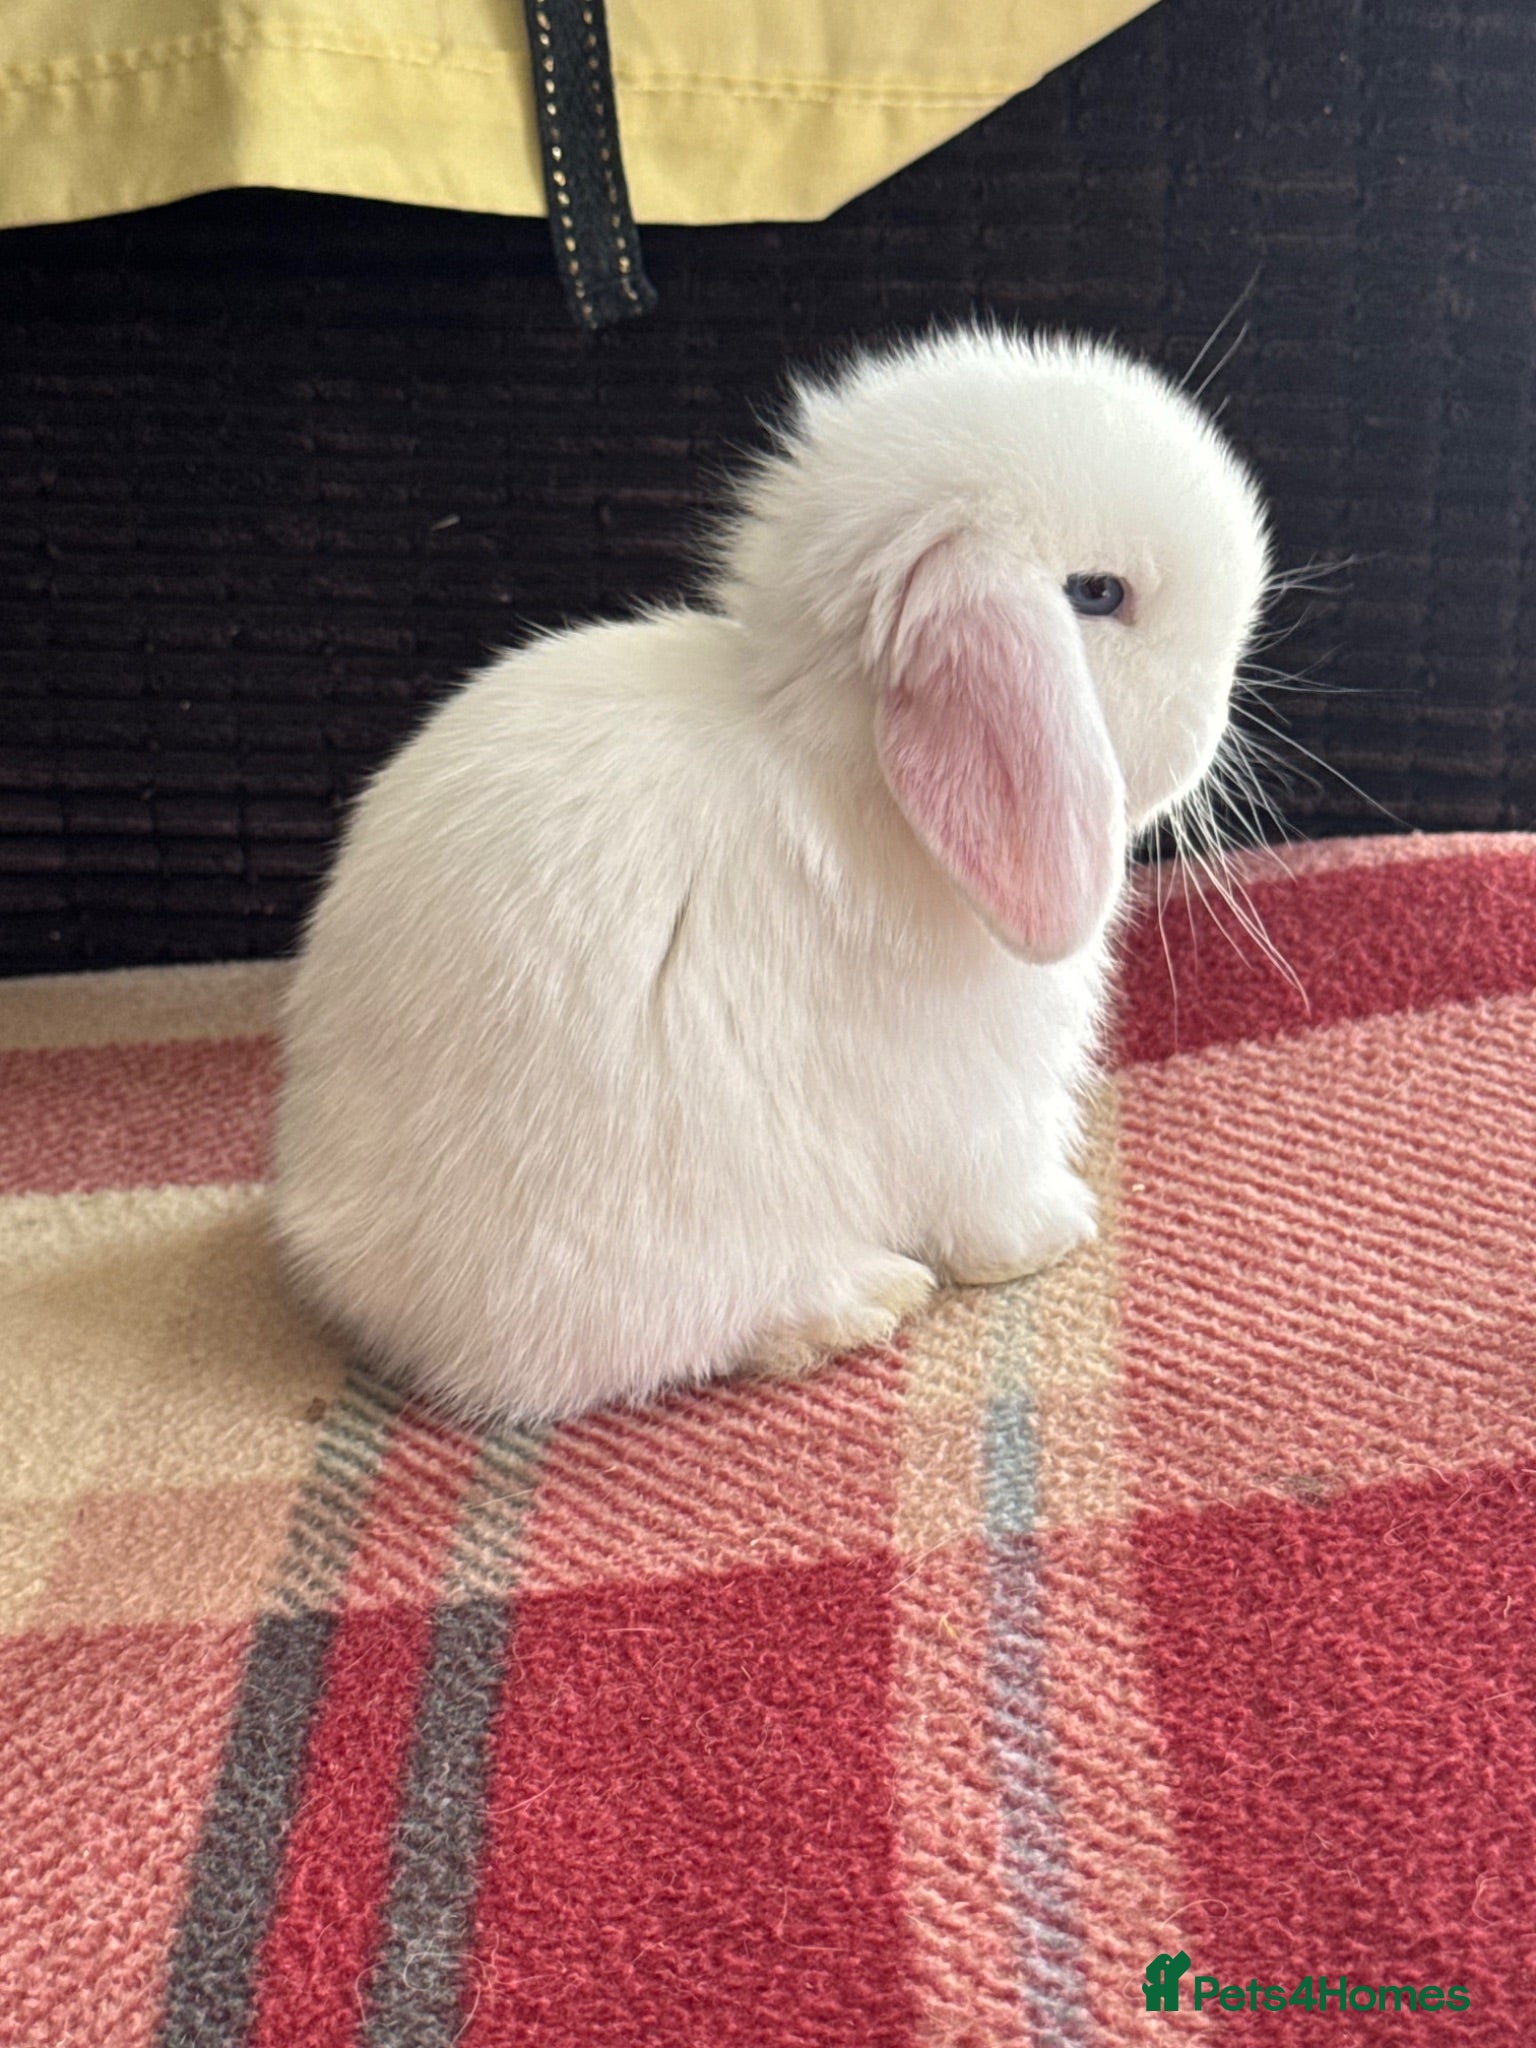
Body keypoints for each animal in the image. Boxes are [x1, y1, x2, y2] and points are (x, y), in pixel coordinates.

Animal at [272, 326, 1271, 1425]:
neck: (850, 769)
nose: (1222, 700)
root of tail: (369, 1282)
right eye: (1098, 594)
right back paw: (855, 1300)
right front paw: (1056, 1230)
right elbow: (988, 1201)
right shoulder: (977, 1113)